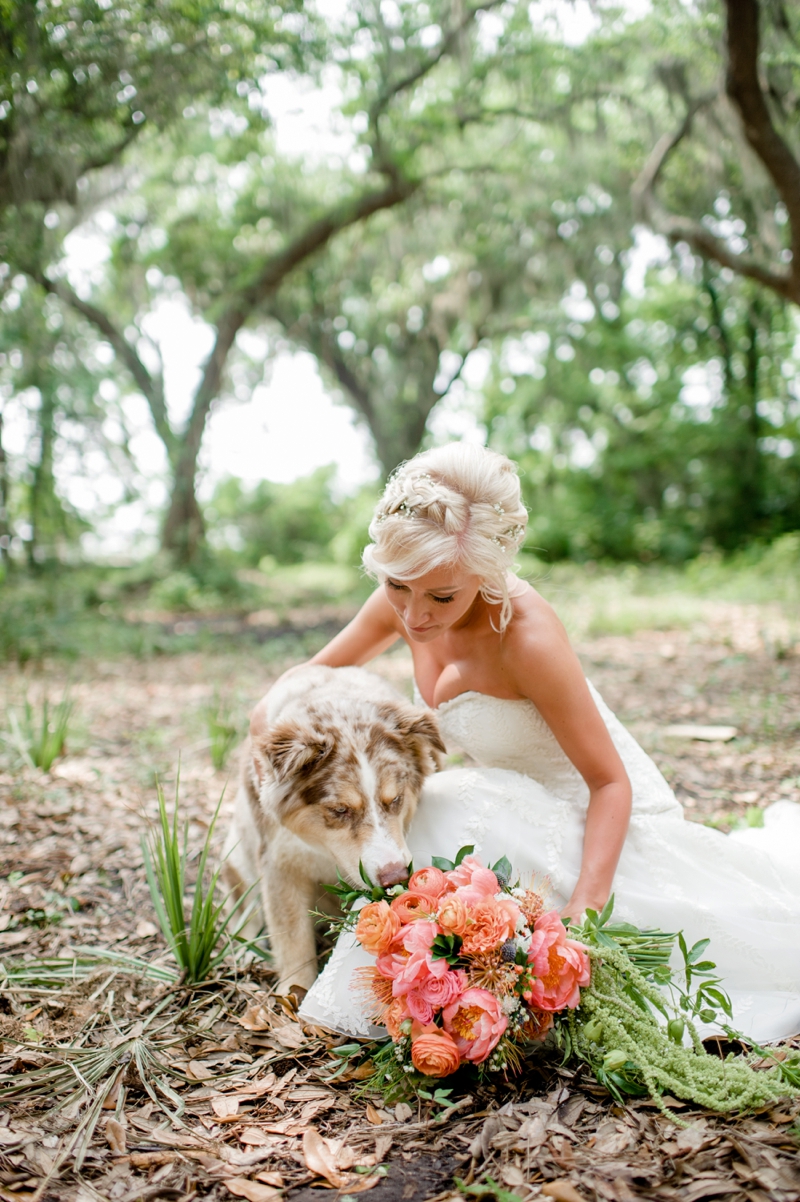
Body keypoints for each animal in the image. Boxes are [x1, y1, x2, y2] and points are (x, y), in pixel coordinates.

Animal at [221, 663, 442, 990]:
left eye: (396, 799)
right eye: (340, 810)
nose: (396, 878)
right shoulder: (278, 863)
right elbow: (293, 940)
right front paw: (293, 993)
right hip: (236, 858)